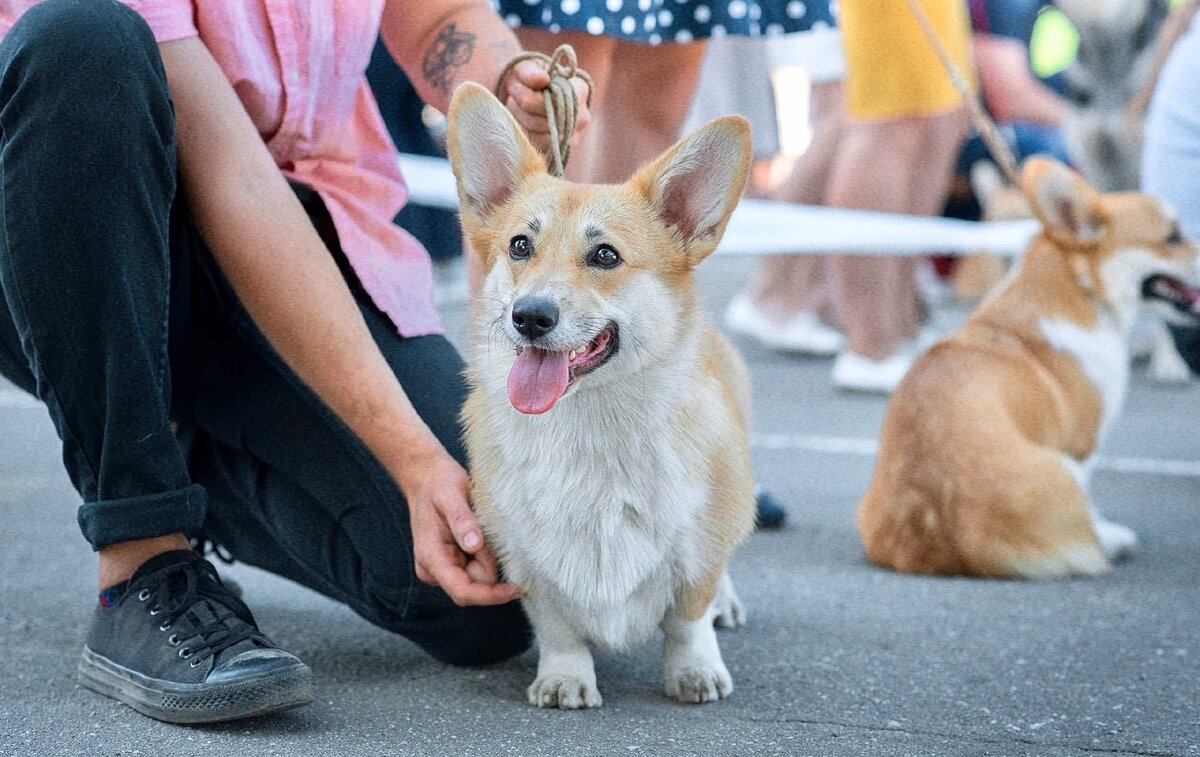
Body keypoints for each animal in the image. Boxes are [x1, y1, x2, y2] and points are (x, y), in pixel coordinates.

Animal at [446, 84, 753, 710]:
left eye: (606, 255)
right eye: (520, 246)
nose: (530, 316)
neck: (590, 424)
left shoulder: (701, 541)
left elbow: (689, 615)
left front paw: (695, 670)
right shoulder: (524, 556)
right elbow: (556, 624)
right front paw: (565, 677)